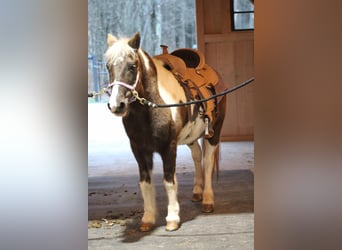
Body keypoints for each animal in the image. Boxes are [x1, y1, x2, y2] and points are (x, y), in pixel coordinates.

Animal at [105, 32, 226, 231]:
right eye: (108, 66)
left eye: (132, 66)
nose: (116, 105)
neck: (153, 107)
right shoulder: (139, 150)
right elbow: (145, 183)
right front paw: (147, 218)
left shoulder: (168, 147)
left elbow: (169, 181)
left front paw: (172, 218)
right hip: (190, 137)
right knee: (197, 155)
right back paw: (197, 191)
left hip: (215, 132)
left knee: (208, 161)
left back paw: (208, 200)